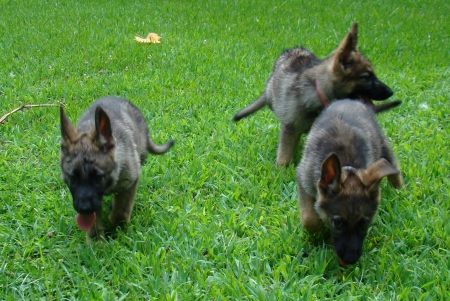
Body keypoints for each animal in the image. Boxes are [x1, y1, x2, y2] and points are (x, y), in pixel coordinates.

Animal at [61, 97, 176, 243]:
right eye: (73, 178)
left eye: (98, 178)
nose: (84, 209)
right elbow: (95, 221)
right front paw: (96, 242)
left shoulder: (130, 182)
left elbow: (121, 211)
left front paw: (116, 229)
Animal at [234, 22, 392, 166]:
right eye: (367, 76)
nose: (391, 92)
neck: (319, 95)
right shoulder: (290, 128)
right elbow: (284, 157)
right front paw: (281, 173)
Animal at [298, 99, 402, 264]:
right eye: (338, 223)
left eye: (364, 222)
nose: (350, 259)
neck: (346, 165)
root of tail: (352, 100)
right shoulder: (303, 180)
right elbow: (310, 219)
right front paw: (319, 222)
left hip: (382, 145)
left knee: (395, 167)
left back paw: (400, 190)